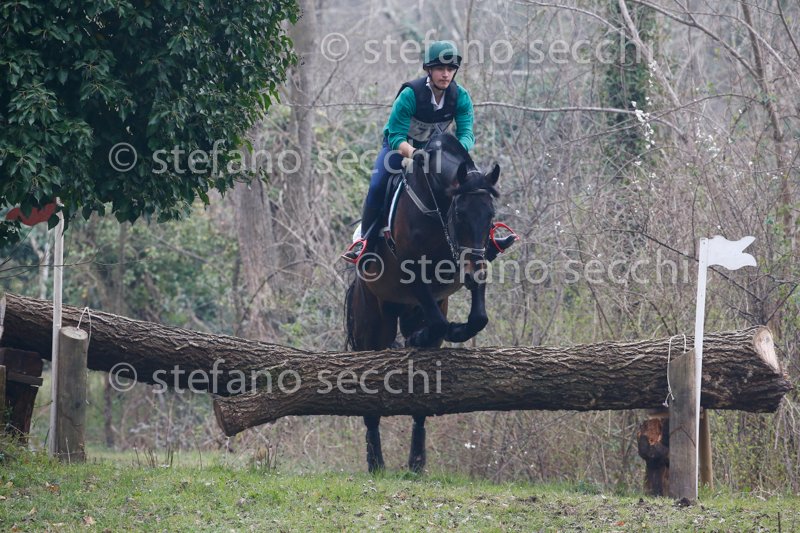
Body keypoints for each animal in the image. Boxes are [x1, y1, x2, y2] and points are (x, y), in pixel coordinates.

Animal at [344, 132, 508, 473]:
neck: (437, 205)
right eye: (460, 214)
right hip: (373, 325)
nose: (475, 267)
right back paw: (376, 461)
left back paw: (417, 460)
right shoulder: (412, 269)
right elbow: (440, 319)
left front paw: (448, 332)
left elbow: (477, 317)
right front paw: (427, 335)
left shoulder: (467, 263)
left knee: (421, 402)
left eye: (490, 215)